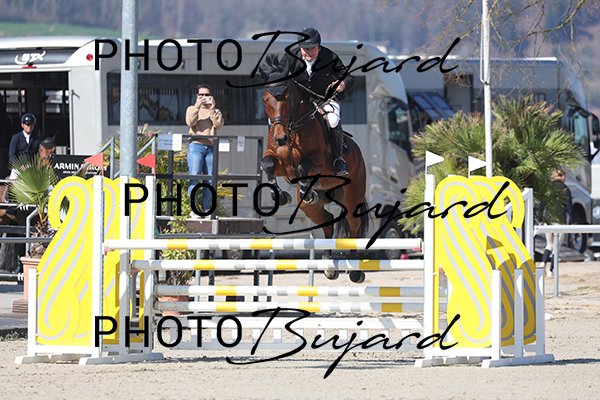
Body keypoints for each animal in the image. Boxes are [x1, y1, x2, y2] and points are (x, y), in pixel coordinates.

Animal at [259, 55, 369, 282]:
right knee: (327, 222)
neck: (293, 128)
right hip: (311, 209)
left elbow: (303, 165)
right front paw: (282, 196)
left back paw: (355, 270)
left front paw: (305, 188)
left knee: (353, 226)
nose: (280, 138)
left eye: (287, 97)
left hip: (352, 196)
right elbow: (267, 164)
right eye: (266, 99)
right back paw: (328, 265)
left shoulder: (317, 161)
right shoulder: (280, 165)